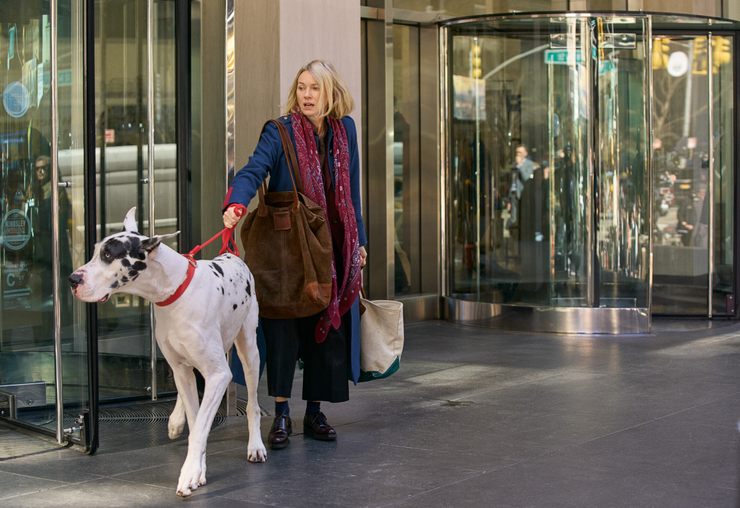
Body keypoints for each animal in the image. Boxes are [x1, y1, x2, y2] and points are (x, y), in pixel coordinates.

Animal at [69, 207, 266, 497]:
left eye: (108, 255)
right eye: (95, 252)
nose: (72, 279)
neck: (173, 292)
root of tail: (231, 254)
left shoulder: (219, 375)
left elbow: (200, 428)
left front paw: (189, 474)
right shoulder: (181, 369)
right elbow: (196, 424)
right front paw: (198, 471)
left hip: (249, 350)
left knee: (252, 403)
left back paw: (256, 446)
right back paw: (175, 420)